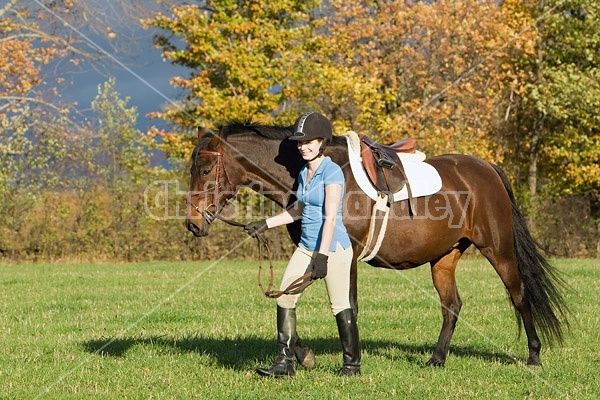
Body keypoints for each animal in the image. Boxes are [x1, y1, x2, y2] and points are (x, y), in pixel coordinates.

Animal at [186, 121, 568, 366]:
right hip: (444, 257)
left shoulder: (344, 255)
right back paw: (436, 359)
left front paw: (349, 361)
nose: (193, 223)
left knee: (519, 295)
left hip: (498, 250)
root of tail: (487, 168)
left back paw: (534, 355)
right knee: (452, 306)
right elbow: (288, 301)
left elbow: (347, 307)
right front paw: (302, 355)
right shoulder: (312, 252)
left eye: (204, 170)